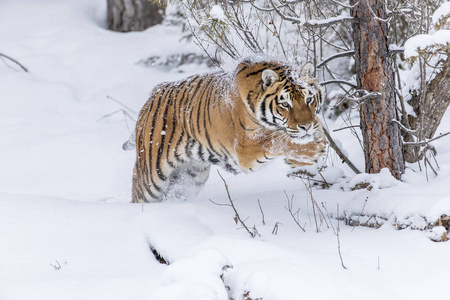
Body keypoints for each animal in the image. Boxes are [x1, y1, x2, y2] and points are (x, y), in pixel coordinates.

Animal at [126, 58, 326, 204]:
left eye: (309, 100)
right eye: (285, 104)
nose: (306, 125)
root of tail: (155, 91)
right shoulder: (247, 148)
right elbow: (277, 139)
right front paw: (311, 150)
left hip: (191, 178)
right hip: (150, 179)